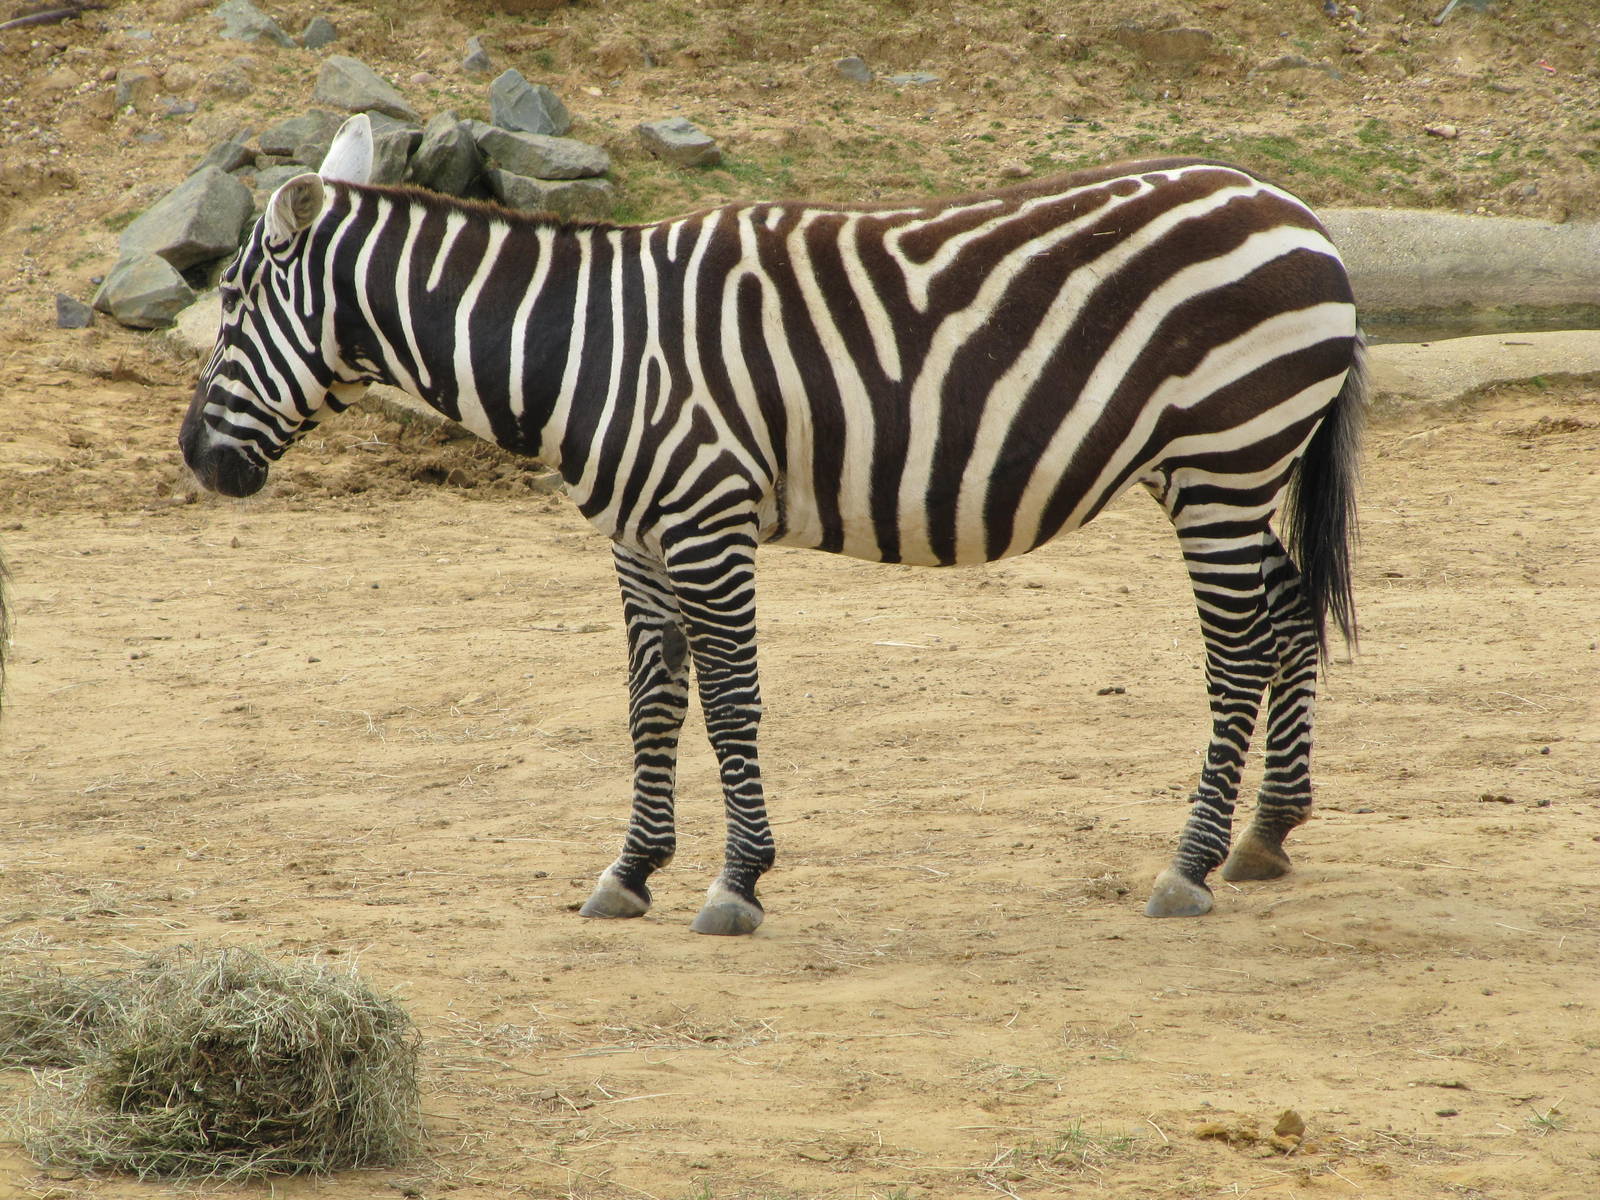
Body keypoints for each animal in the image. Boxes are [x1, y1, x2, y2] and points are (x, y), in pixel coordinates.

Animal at [180, 114, 1363, 934]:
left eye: (232, 303)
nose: (195, 460)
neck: (588, 345)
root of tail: (1294, 208)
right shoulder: (638, 536)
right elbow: (651, 706)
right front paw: (630, 871)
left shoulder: (708, 521)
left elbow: (731, 704)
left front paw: (737, 881)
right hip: (1217, 469)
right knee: (1288, 614)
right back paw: (1266, 835)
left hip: (1225, 455)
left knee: (1238, 645)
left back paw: (1190, 862)